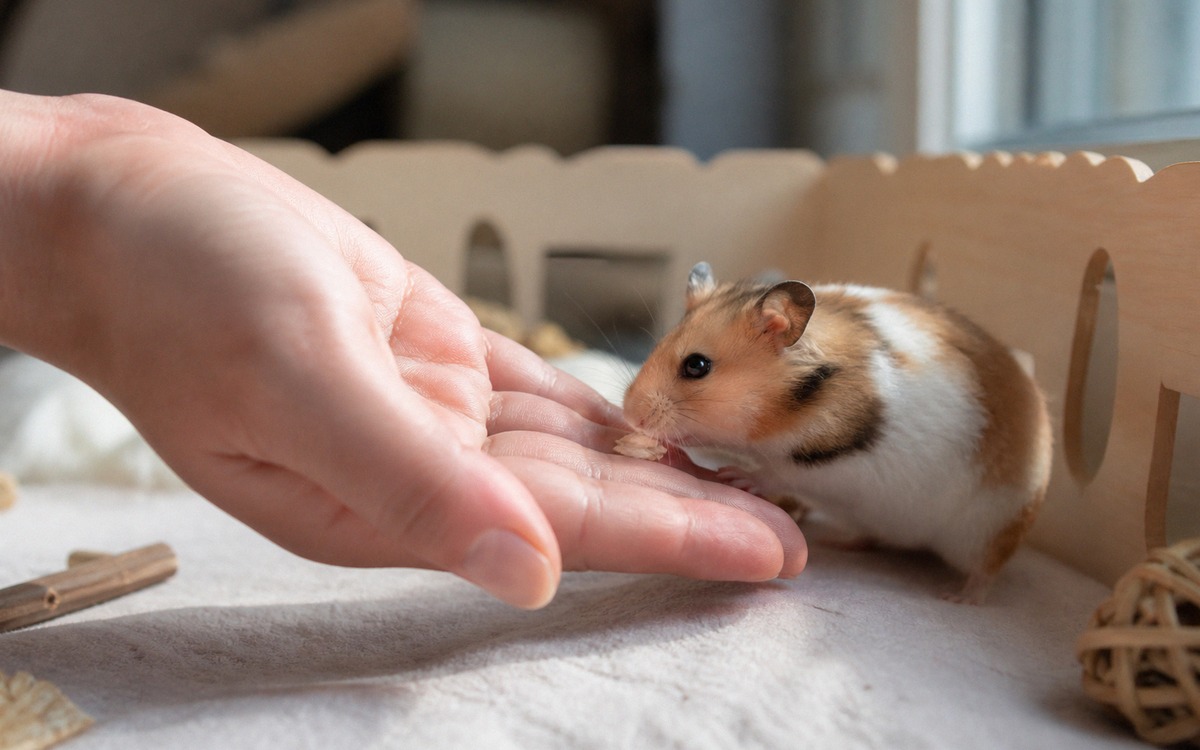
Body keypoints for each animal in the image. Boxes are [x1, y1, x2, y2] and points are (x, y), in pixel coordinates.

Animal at [623, 262, 1052, 603]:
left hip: (992, 526)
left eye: (697, 365)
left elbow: (779, 472)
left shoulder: (833, 463)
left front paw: (737, 475)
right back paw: (839, 542)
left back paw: (957, 597)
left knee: (987, 570)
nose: (630, 415)